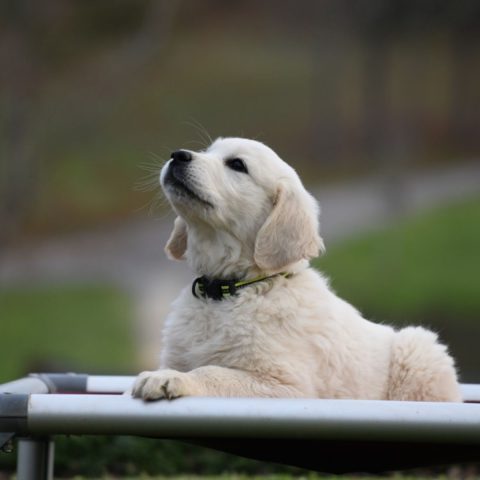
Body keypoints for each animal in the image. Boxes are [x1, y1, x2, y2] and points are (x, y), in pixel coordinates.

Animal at [132, 138, 462, 402]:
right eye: (207, 151)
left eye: (237, 164)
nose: (178, 155)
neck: (229, 291)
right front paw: (168, 374)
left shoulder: (285, 385)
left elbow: (213, 371)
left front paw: (170, 379)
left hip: (419, 351)